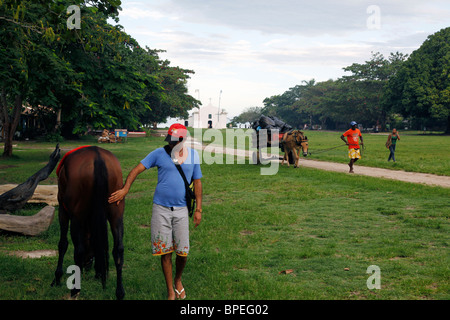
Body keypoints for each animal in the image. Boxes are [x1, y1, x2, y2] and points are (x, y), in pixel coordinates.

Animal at [51, 146, 125, 300]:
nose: (88, 264)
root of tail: (97, 156)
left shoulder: (63, 210)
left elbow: (63, 244)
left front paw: (57, 277)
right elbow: (101, 244)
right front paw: (99, 271)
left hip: (76, 217)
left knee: (78, 249)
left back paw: (75, 290)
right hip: (117, 213)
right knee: (119, 249)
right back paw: (119, 292)